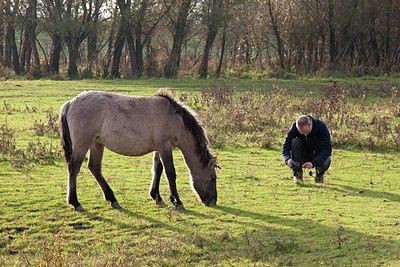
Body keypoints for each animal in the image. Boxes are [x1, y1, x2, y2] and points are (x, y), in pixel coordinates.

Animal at [58, 89, 219, 211]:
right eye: (213, 178)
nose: (213, 201)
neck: (175, 120)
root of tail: (70, 103)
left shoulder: (159, 149)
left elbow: (158, 170)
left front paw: (156, 197)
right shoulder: (165, 147)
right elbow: (170, 173)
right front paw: (177, 201)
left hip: (96, 143)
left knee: (94, 167)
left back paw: (112, 199)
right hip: (83, 144)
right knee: (74, 167)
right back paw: (75, 202)